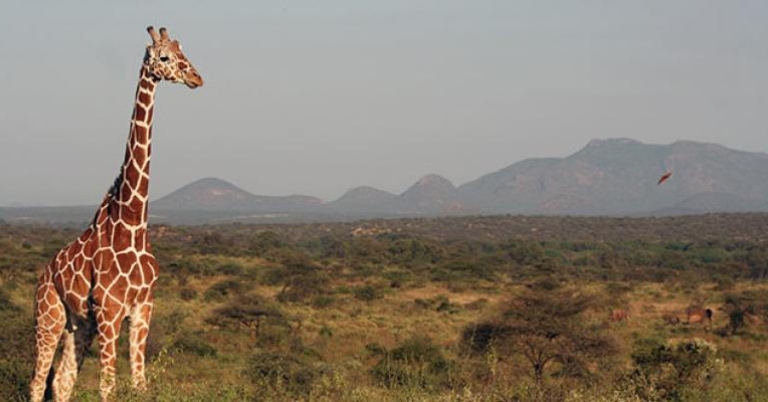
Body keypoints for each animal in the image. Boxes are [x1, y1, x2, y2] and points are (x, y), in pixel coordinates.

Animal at [30, 26, 203, 402]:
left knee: (61, 382)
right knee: (37, 380)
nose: (196, 77)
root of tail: (45, 272)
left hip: (79, 325)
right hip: (48, 316)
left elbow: (139, 383)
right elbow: (107, 386)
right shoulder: (110, 312)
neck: (133, 222)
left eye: (184, 52)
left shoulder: (143, 308)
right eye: (164, 57)